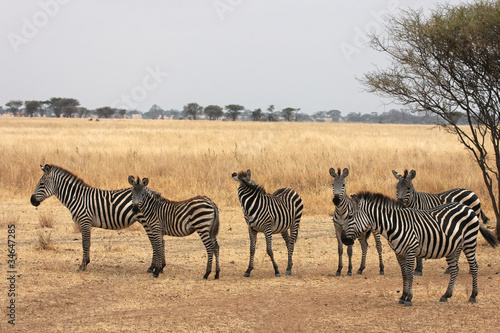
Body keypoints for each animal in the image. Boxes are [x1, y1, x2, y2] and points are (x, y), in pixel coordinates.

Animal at [29, 163, 164, 274]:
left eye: (41, 184)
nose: (32, 200)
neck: (76, 197)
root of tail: (152, 191)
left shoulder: (85, 221)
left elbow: (85, 243)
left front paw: (83, 265)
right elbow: (86, 243)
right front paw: (85, 263)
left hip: (146, 220)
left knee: (155, 240)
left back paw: (153, 267)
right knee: (159, 240)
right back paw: (158, 267)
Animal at [340, 191, 496, 304]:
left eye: (350, 216)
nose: (343, 239)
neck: (394, 225)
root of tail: (467, 208)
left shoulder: (410, 251)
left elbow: (410, 274)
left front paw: (409, 298)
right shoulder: (399, 253)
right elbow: (404, 275)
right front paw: (402, 296)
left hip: (470, 241)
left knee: (474, 267)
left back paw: (473, 296)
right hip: (454, 247)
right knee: (454, 269)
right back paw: (446, 295)